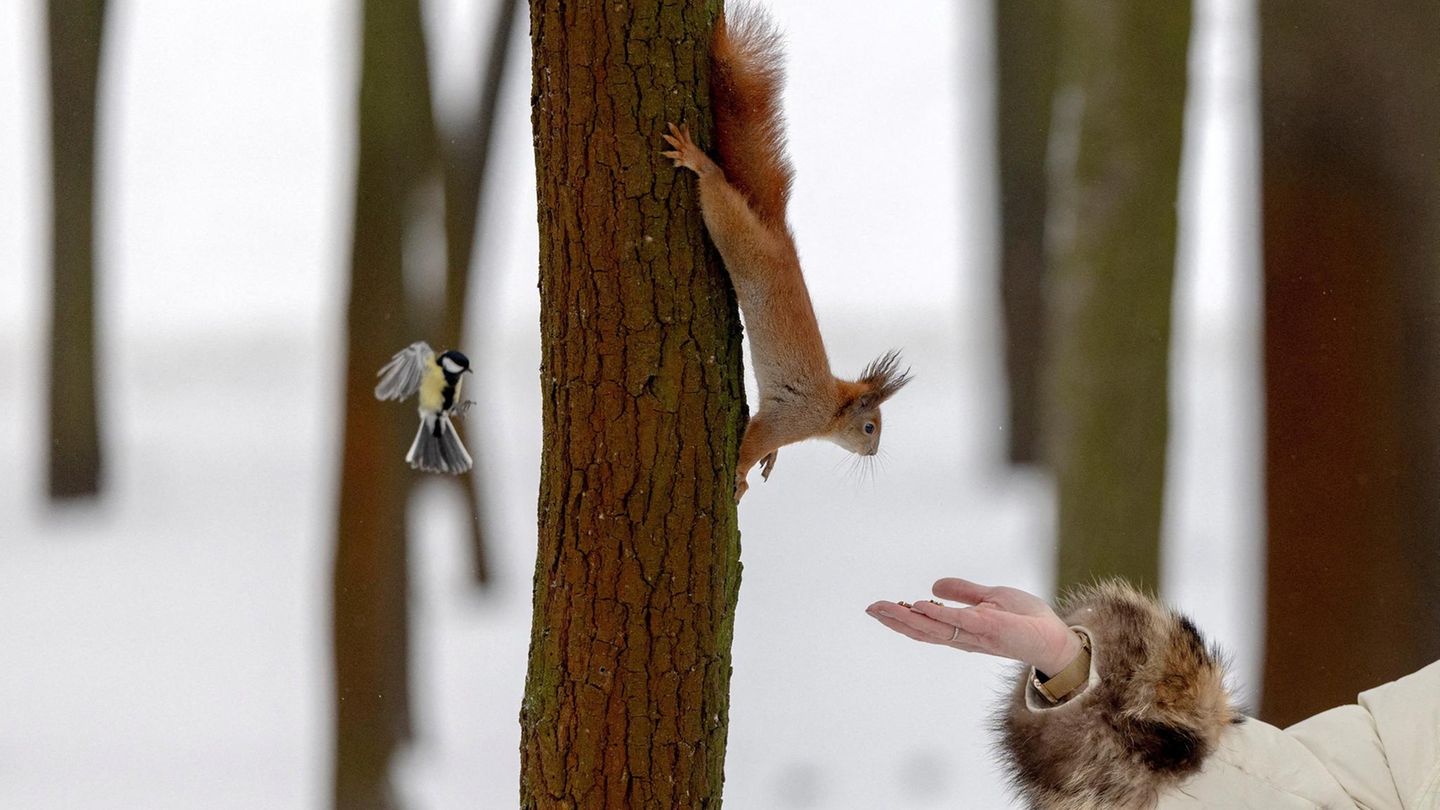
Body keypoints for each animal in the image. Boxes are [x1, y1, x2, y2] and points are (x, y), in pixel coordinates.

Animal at [662, 5, 911, 502]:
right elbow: (753, 439)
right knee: (716, 190)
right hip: (735, 233)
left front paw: (769, 462)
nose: (873, 453)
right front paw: (740, 475)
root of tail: (778, 235)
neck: (830, 408)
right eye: (871, 427)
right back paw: (698, 161)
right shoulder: (790, 417)